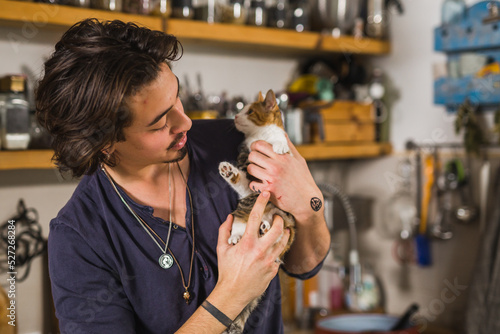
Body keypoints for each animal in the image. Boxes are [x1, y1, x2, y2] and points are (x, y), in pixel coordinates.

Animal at [217, 88, 294, 334]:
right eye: (241, 109)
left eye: (249, 111)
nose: (235, 116)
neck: (258, 136)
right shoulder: (246, 160)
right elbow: (245, 175)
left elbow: (280, 139)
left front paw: (281, 147)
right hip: (242, 209)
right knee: (241, 208)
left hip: (287, 220)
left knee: (279, 229)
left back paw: (265, 226)